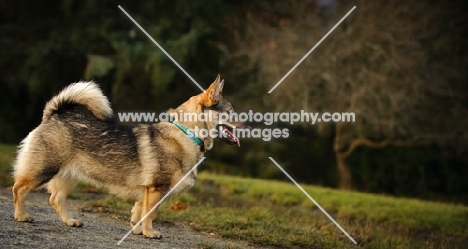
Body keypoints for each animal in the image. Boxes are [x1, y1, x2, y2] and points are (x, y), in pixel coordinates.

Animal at [11, 75, 249, 238]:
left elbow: (138, 212)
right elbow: (150, 214)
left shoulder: (146, 192)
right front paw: (150, 233)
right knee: (19, 189)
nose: (248, 126)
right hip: (43, 170)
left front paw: (138, 231)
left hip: (69, 177)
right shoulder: (156, 189)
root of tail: (55, 114)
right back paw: (21, 216)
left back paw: (70, 221)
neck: (185, 133)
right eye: (230, 111)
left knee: (56, 199)